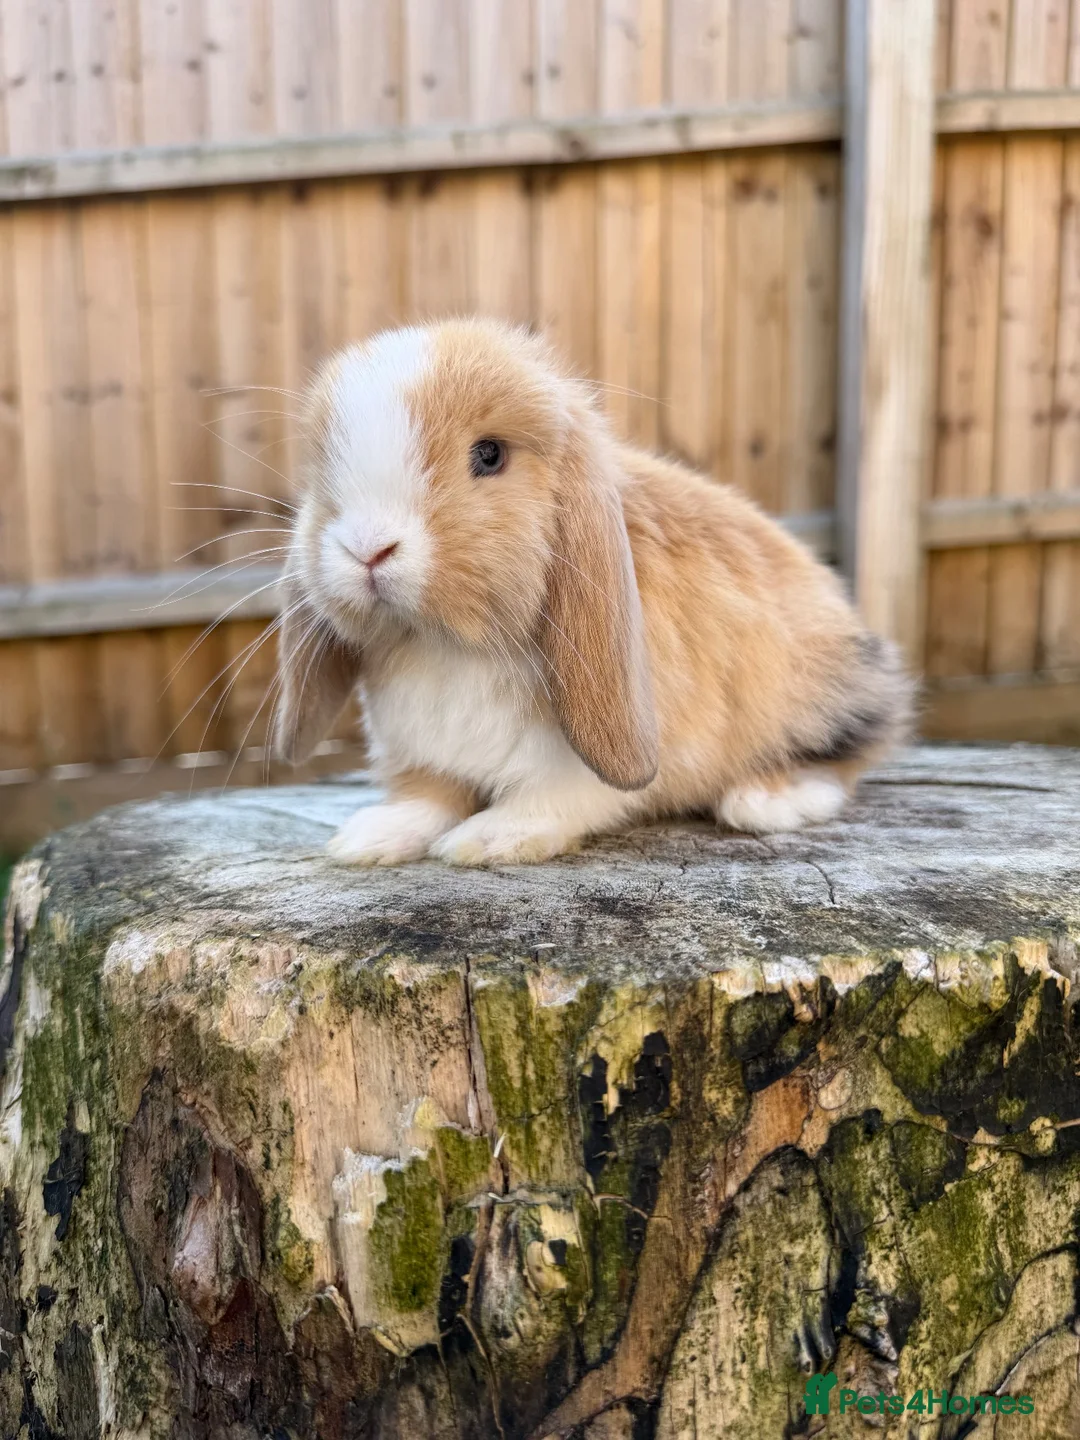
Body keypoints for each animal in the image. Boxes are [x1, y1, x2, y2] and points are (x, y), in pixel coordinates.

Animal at [273, 317, 913, 866]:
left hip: (822, 696)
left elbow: (555, 797)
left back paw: (766, 801)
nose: (367, 547)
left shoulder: (584, 761)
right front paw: (369, 838)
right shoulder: (422, 751)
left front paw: (489, 839)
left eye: (489, 454)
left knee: (844, 759)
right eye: (323, 468)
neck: (447, 646)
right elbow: (428, 795)